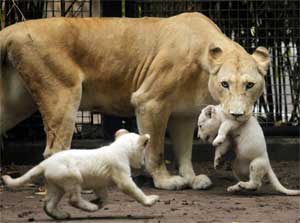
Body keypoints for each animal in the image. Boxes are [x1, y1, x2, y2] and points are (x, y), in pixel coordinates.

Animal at [0, 12, 268, 190]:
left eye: (250, 85)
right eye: (225, 84)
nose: (236, 114)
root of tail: (12, 28)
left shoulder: (184, 114)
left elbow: (184, 150)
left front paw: (192, 178)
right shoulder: (149, 101)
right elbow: (156, 149)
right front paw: (165, 181)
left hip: (14, 104)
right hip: (63, 93)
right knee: (54, 149)